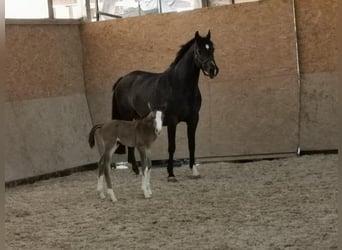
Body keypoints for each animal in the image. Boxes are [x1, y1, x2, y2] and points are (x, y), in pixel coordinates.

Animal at [112, 30, 219, 182]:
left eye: (212, 49)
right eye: (199, 50)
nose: (212, 70)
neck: (180, 85)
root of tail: (123, 79)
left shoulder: (193, 120)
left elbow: (192, 144)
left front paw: (194, 170)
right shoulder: (172, 121)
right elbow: (172, 147)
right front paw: (171, 174)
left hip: (137, 118)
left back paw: (137, 170)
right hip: (127, 117)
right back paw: (136, 170)